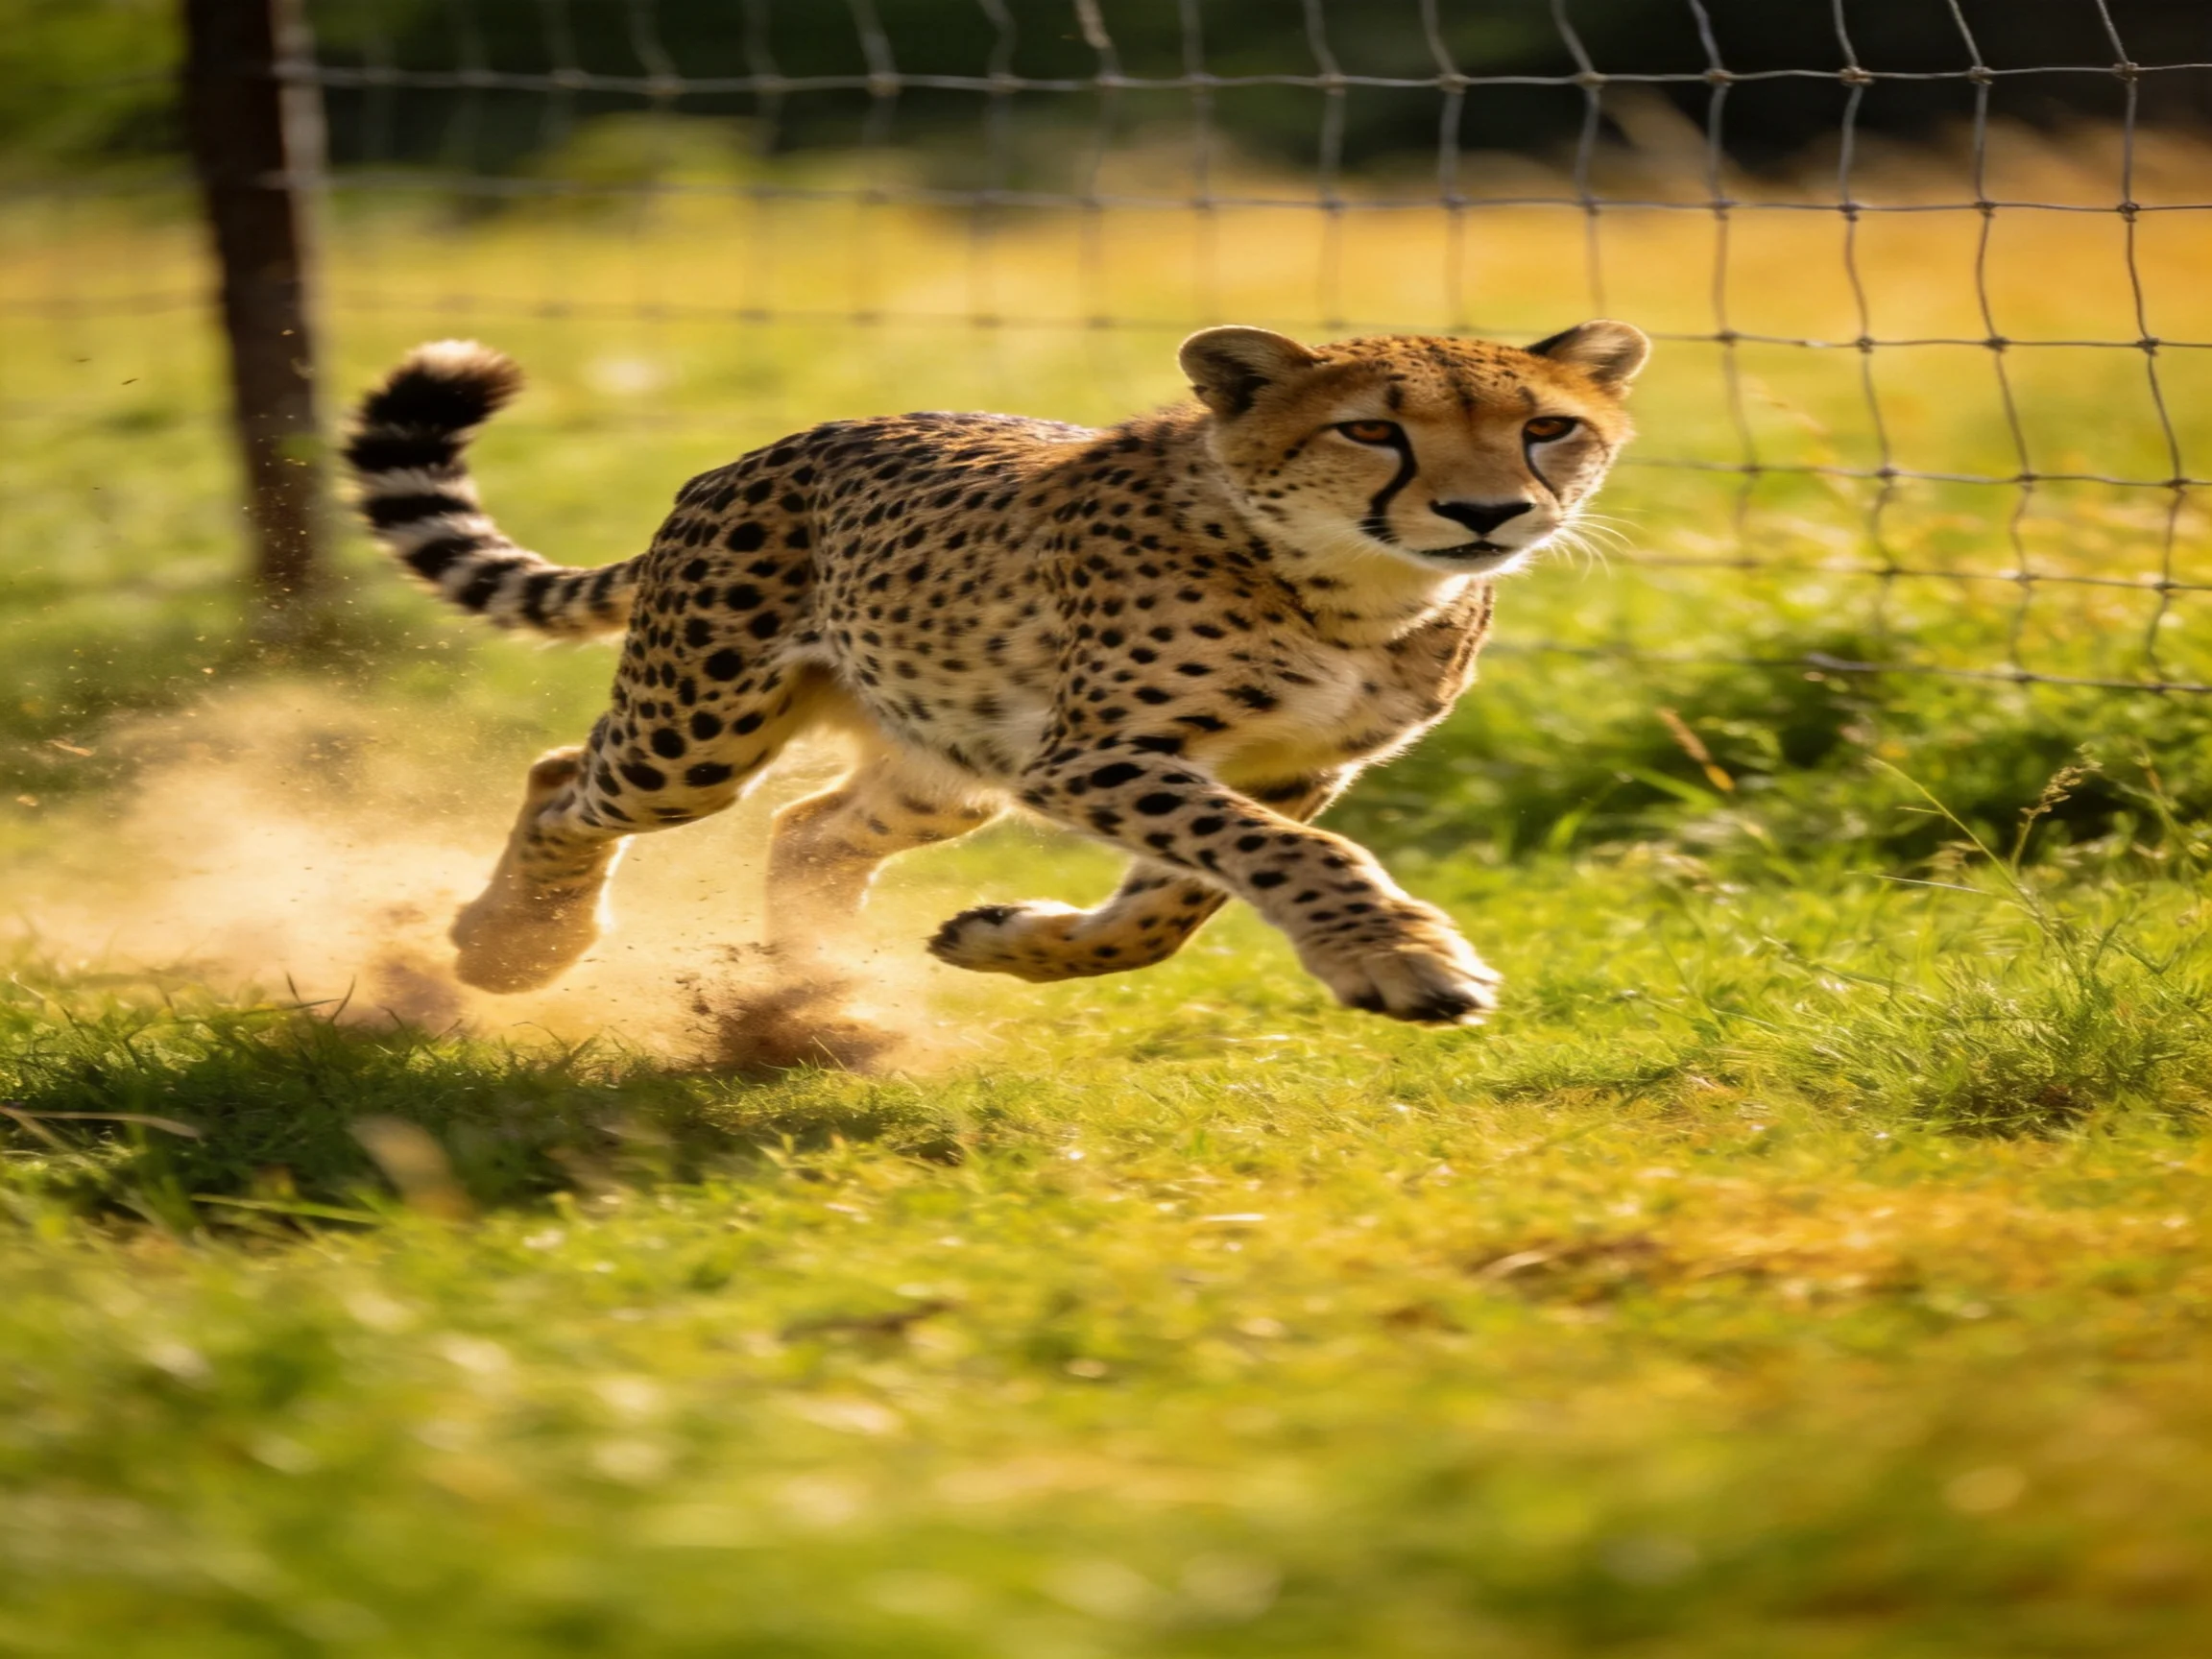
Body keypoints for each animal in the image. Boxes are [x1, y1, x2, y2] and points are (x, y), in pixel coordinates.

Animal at [343, 319, 1649, 1025]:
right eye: (1372, 429)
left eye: (1547, 428)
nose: (1486, 512)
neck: (1352, 587)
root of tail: (763, 449)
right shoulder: (1096, 754)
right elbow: (1286, 860)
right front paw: (1402, 957)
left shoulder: (1288, 768)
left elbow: (1175, 909)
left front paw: (1011, 942)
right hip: (697, 734)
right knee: (567, 776)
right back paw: (515, 947)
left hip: (948, 760)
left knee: (809, 832)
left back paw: (818, 999)